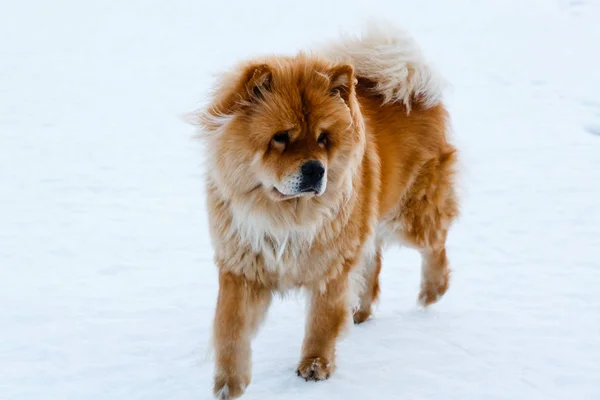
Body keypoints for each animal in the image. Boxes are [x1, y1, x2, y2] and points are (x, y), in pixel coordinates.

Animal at [195, 23, 458, 398]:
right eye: (281, 137)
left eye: (323, 138)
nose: (315, 170)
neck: (284, 217)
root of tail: (416, 90)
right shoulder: (242, 267)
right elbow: (230, 328)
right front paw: (229, 385)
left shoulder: (330, 268)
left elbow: (321, 322)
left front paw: (315, 368)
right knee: (373, 262)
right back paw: (360, 312)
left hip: (408, 216)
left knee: (435, 245)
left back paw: (432, 291)